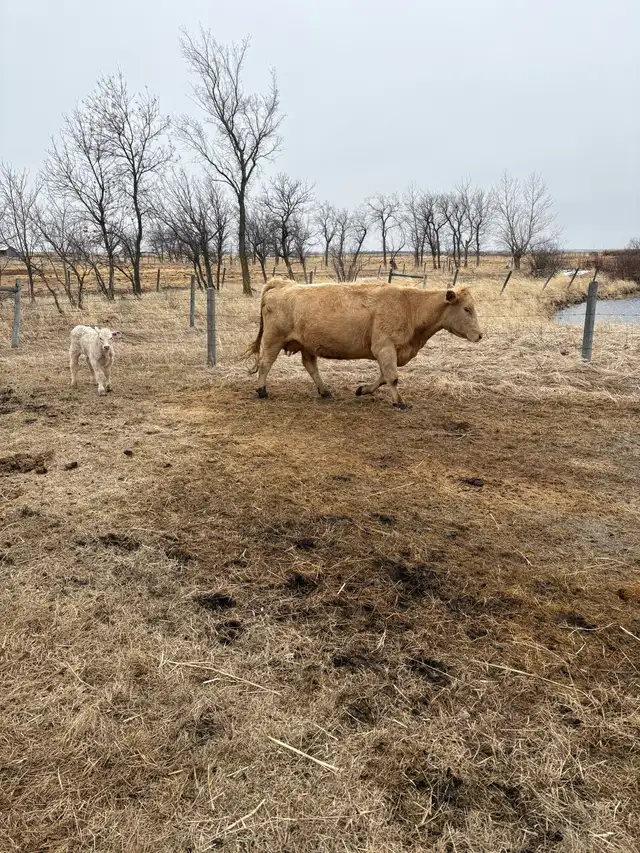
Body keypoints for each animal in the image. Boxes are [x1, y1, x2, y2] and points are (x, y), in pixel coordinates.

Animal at [246, 279, 482, 408]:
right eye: (466, 309)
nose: (480, 335)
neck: (410, 306)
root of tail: (282, 284)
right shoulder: (384, 347)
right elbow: (392, 377)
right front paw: (400, 402)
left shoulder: (388, 351)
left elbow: (383, 377)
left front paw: (362, 389)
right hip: (274, 339)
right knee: (266, 363)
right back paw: (262, 390)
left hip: (307, 345)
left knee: (311, 366)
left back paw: (324, 391)